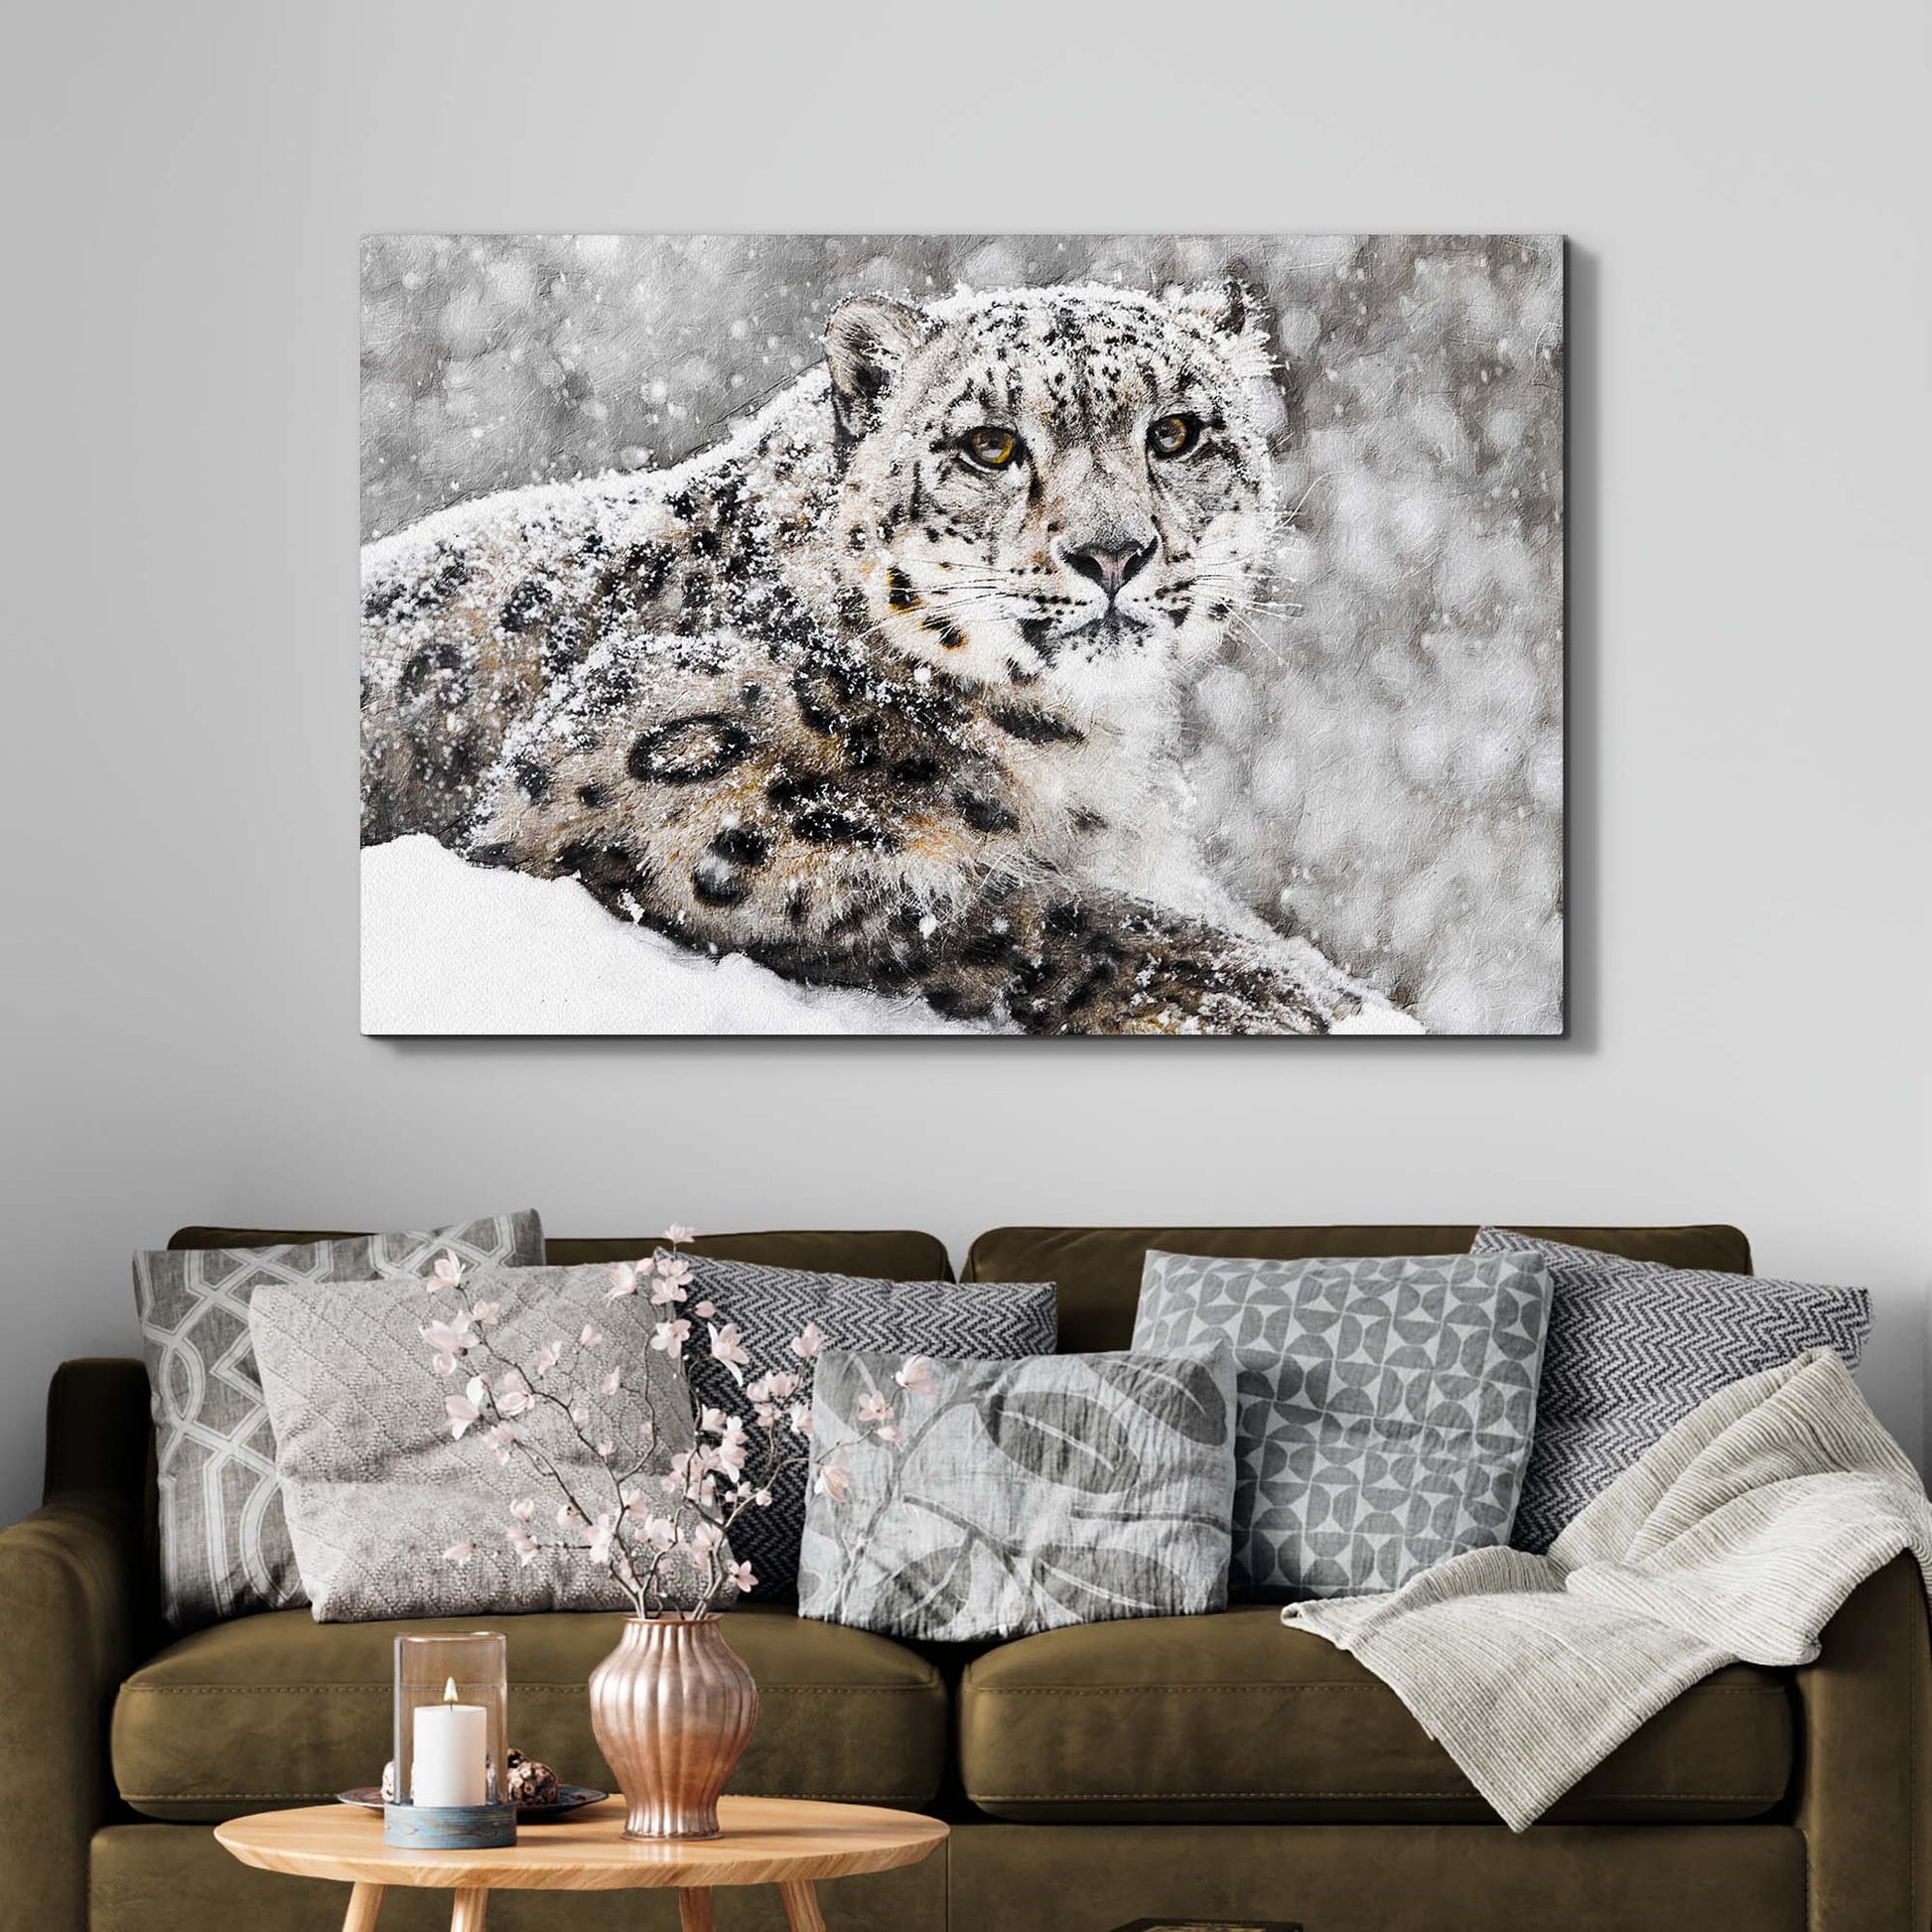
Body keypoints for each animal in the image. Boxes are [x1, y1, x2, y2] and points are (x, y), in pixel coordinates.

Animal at [360, 279, 1419, 1035]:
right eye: (990, 444)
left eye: (1177, 431)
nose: (1113, 551)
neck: (1087, 750)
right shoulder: (651, 793)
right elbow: (994, 905)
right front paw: (1268, 995)